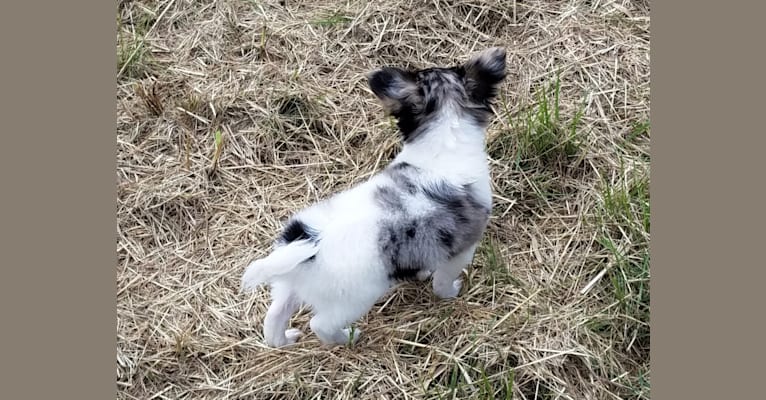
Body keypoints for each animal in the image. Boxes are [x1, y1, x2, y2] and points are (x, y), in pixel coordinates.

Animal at [244, 47, 510, 346]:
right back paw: (348, 338)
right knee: (320, 325)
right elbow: (442, 281)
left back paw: (286, 340)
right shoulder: (460, 252)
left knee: (274, 319)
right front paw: (450, 292)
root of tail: (307, 242)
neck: (444, 139)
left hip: (287, 285)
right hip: (352, 300)